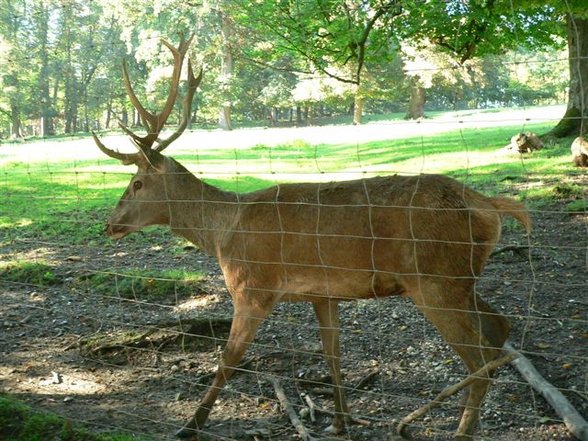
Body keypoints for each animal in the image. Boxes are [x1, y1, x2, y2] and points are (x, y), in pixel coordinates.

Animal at [93, 36, 532, 438]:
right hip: (459, 279)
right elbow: (332, 356)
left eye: (137, 183)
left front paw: (190, 425)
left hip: (435, 279)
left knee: (480, 357)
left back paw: (447, 427)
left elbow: (228, 360)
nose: (110, 224)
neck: (222, 234)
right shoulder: (324, 294)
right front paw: (339, 421)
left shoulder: (252, 287)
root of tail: (489, 205)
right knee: (500, 327)